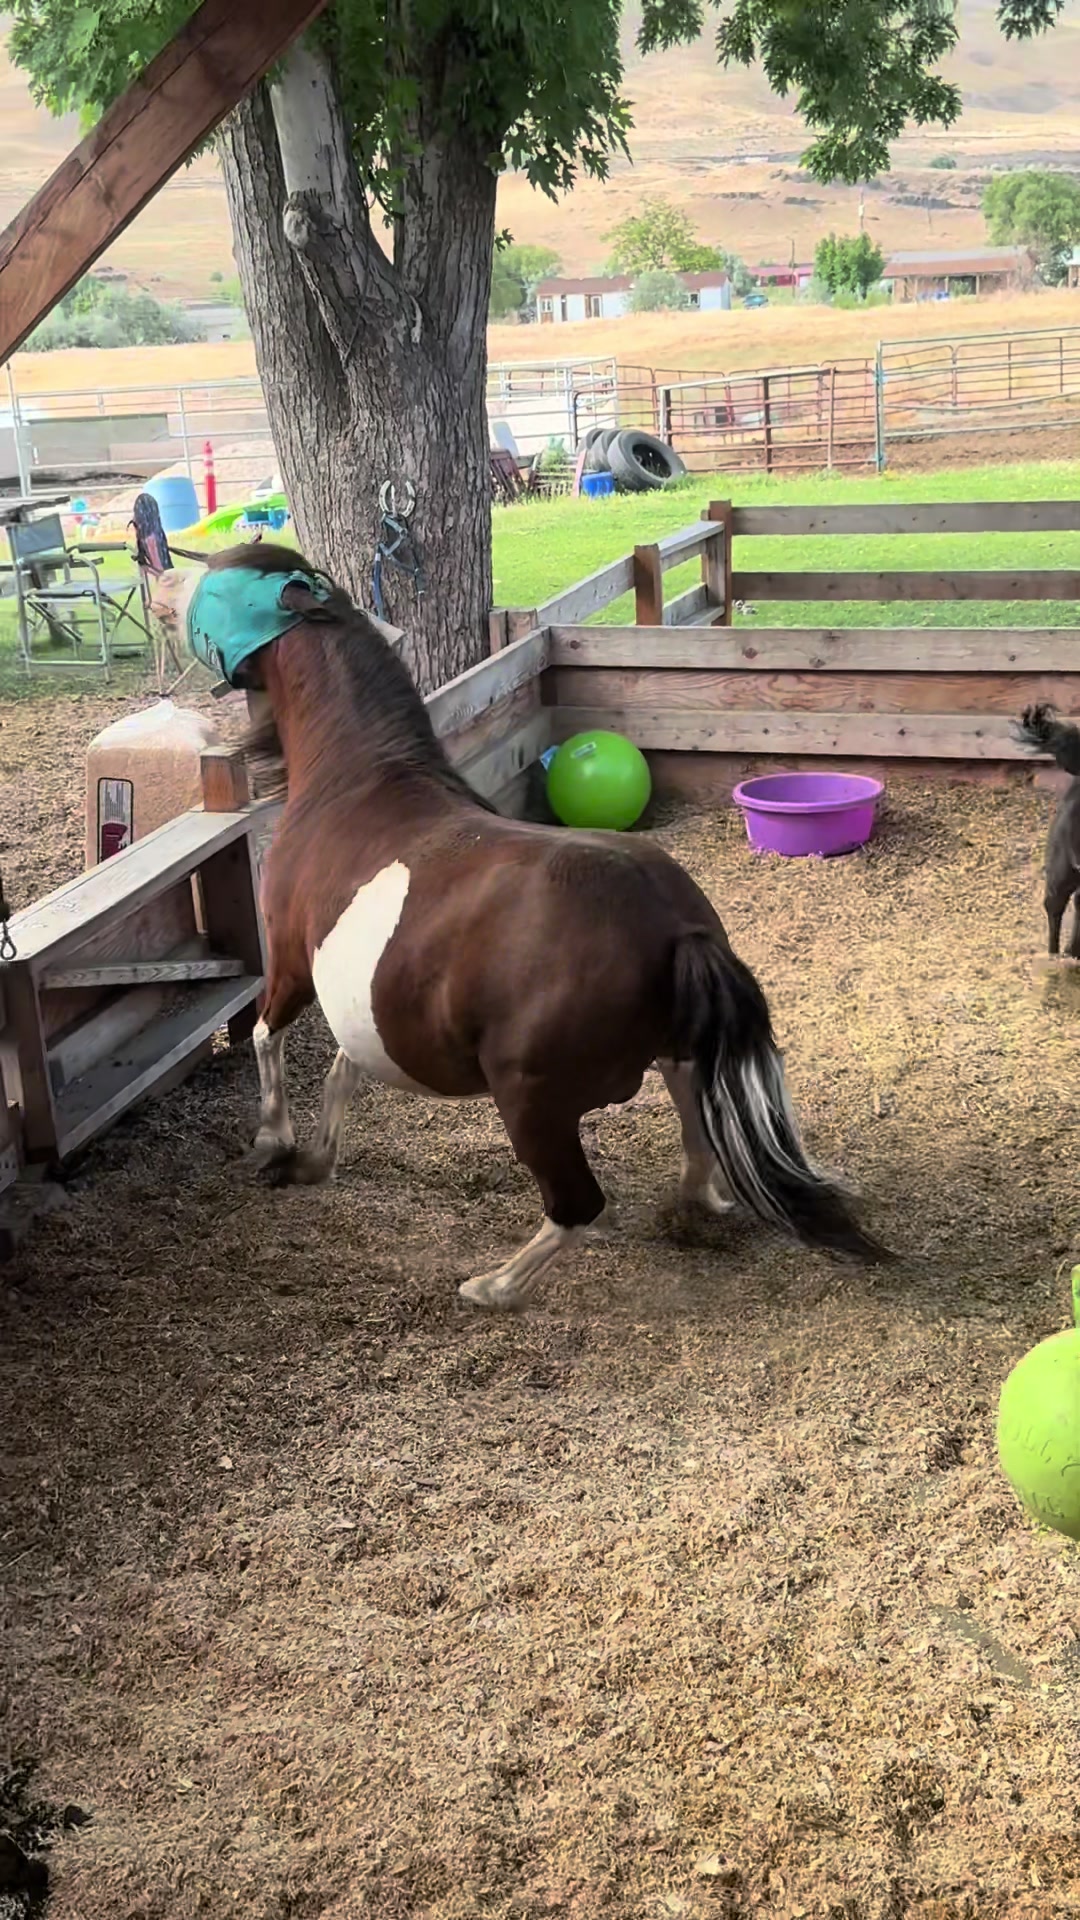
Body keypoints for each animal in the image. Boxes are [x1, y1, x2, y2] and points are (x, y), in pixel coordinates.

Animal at [150, 543, 892, 1308]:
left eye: (225, 572)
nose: (160, 581)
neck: (355, 786)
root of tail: (677, 928)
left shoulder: (293, 962)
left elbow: (266, 1039)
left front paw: (273, 1144)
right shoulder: (358, 1004)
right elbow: (342, 1072)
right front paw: (313, 1160)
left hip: (530, 1100)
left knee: (577, 1206)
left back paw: (493, 1285)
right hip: (677, 1055)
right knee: (697, 1134)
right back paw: (693, 1207)